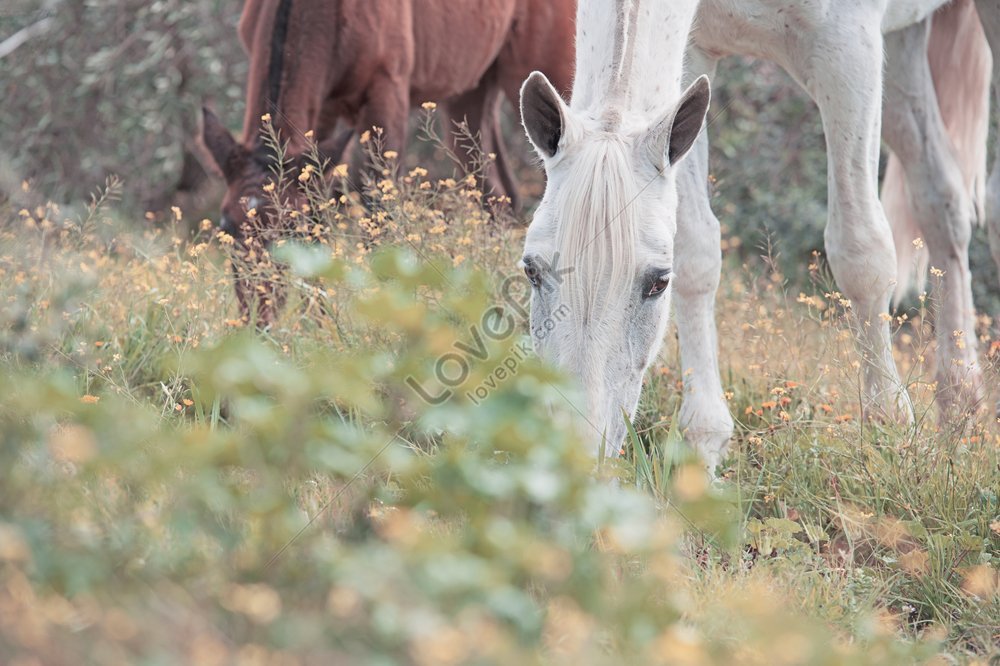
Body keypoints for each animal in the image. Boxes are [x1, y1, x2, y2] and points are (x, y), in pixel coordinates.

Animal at [199, 0, 576, 322]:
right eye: (226, 228)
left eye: (291, 232)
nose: (258, 319)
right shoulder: (322, 111)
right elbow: (320, 211)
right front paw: (316, 323)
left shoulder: (387, 90)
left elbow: (378, 212)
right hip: (469, 92)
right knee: (498, 197)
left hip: (535, 68)